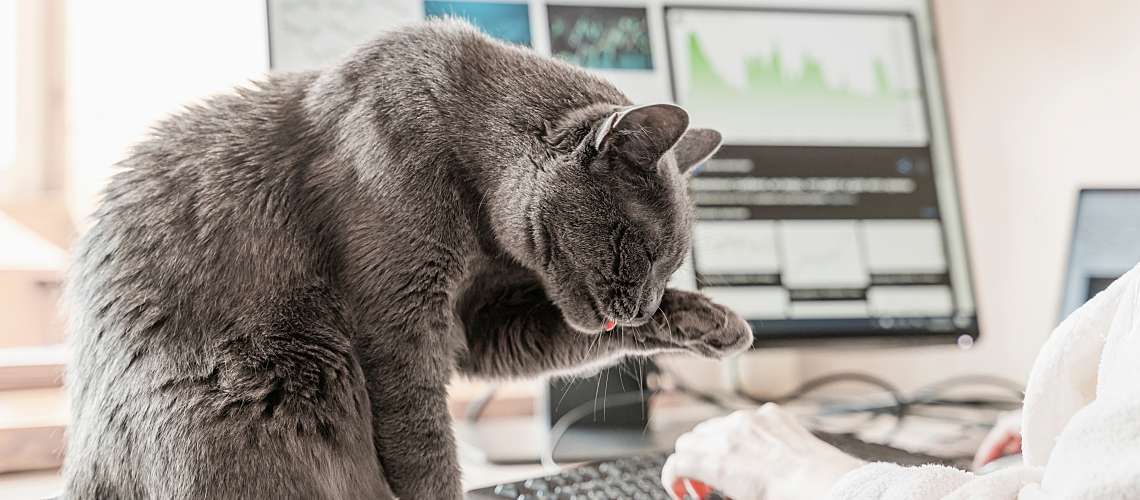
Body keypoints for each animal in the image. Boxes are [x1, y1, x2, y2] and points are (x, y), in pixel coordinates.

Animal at [66, 20, 752, 500]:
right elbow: (422, 445)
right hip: (288, 376)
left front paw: (718, 324)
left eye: (670, 266)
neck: (481, 230)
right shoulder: (399, 324)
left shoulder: (477, 324)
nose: (640, 306)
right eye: (635, 246)